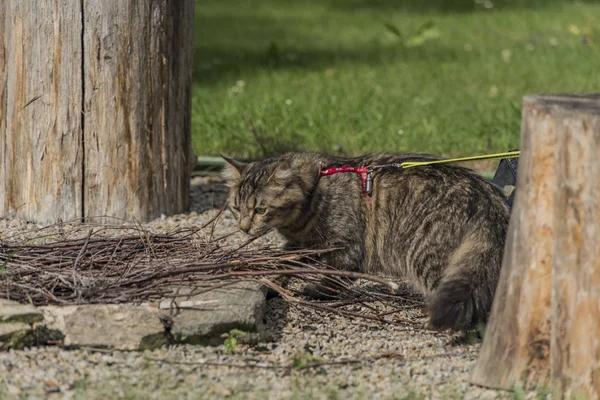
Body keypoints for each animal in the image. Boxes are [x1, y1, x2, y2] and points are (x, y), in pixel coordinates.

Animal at [223, 152, 508, 330]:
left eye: (260, 210)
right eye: (236, 208)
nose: (243, 227)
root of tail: (488, 195)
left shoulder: (346, 247)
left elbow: (334, 278)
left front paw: (315, 292)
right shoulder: (302, 245)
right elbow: (285, 264)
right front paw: (272, 284)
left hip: (428, 257)